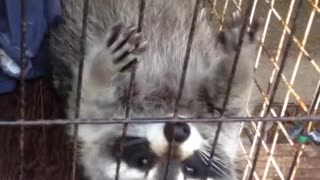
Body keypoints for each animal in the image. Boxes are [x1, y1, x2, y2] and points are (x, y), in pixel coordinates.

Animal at [48, 0, 262, 180]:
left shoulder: (221, 130)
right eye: (143, 161)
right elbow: (91, 94)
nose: (178, 132)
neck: (167, 107)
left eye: (190, 169)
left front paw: (242, 57)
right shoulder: (97, 122)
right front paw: (105, 66)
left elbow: (229, 97)